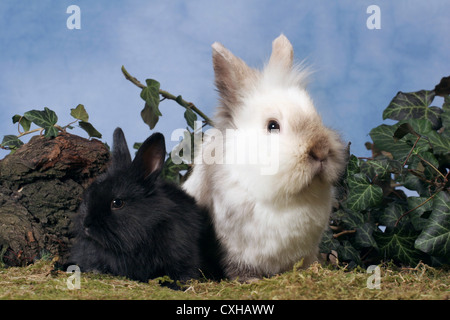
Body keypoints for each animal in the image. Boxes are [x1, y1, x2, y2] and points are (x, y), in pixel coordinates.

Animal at [183, 35, 348, 280]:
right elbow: (239, 268)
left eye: (317, 116)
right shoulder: (236, 250)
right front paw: (250, 280)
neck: (285, 199)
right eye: (272, 125)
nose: (321, 151)